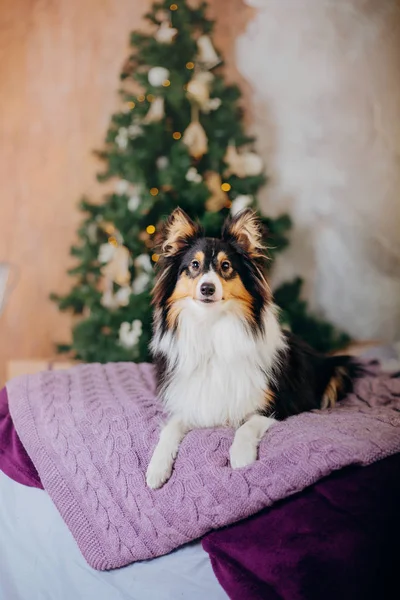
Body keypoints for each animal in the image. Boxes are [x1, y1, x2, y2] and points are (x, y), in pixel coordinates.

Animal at [145, 209, 358, 490]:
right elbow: (170, 428)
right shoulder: (192, 402)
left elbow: (246, 426)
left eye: (226, 266)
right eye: (194, 266)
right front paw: (156, 469)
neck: (212, 327)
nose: (207, 288)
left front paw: (241, 456)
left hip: (338, 370)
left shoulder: (279, 404)